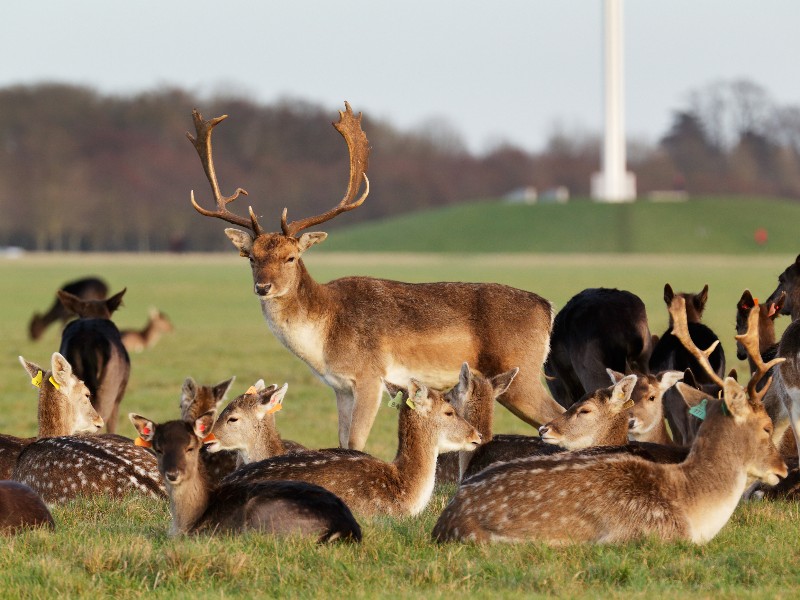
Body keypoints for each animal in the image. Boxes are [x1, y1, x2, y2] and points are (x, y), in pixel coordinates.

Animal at [188, 103, 564, 450]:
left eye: (291, 257)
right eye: (251, 257)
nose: (263, 286)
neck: (324, 336)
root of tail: (547, 307)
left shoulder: (370, 375)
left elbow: (356, 441)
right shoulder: (339, 387)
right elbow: (342, 440)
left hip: (522, 372)